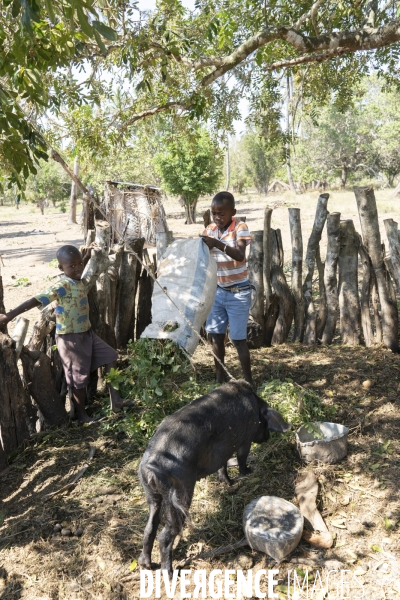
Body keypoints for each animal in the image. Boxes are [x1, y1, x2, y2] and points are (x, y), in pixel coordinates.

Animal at [138, 380, 288, 572]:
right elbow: (242, 459)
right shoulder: (244, 440)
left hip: (151, 493)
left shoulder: (223, 451)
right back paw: (169, 572)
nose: (267, 437)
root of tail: (150, 467)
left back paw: (146, 564)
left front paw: (227, 482)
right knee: (165, 535)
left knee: (150, 527)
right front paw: (248, 472)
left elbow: (222, 465)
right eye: (264, 422)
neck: (254, 406)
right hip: (179, 494)